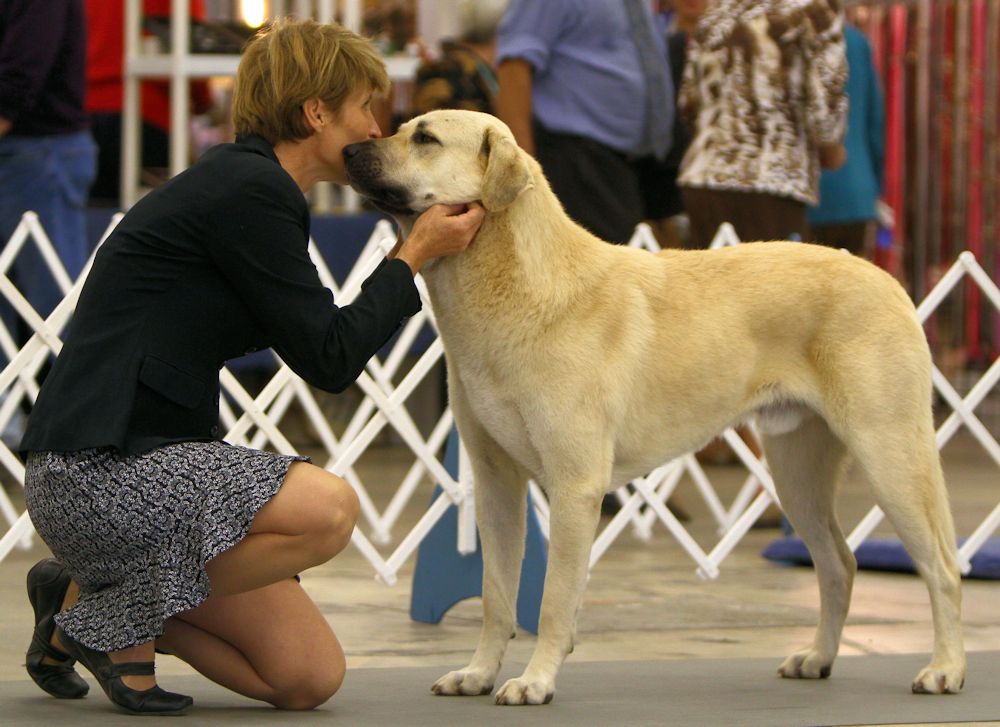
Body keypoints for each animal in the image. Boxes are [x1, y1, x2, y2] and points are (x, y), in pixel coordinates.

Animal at [342, 109, 960, 704]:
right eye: (398, 129)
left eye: (424, 138)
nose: (348, 149)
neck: (514, 283)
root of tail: (887, 280)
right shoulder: (495, 484)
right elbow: (497, 597)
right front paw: (477, 674)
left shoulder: (574, 488)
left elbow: (552, 601)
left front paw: (535, 682)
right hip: (797, 473)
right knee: (839, 564)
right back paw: (819, 658)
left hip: (890, 456)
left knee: (941, 567)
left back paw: (944, 670)